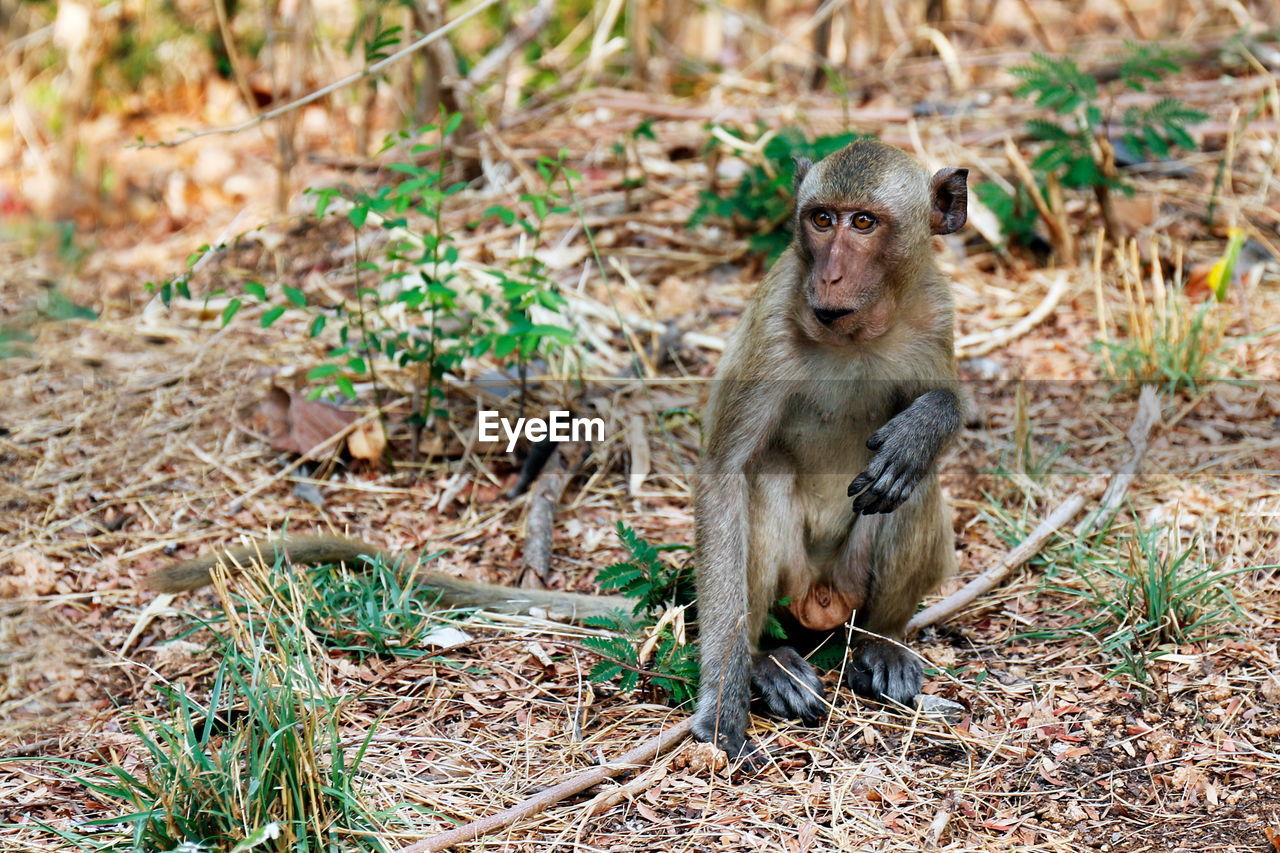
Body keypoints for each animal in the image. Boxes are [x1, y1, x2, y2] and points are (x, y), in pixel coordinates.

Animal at [696, 139, 962, 758]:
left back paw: (883, 646)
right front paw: (723, 697)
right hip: (793, 585)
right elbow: (726, 475)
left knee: (911, 486)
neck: (854, 333)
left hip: (851, 582)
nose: (831, 275)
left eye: (863, 223)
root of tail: (822, 597)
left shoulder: (935, 310)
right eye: (821, 220)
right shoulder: (772, 319)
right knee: (762, 477)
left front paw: (923, 427)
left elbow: (944, 411)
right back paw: (766, 662)